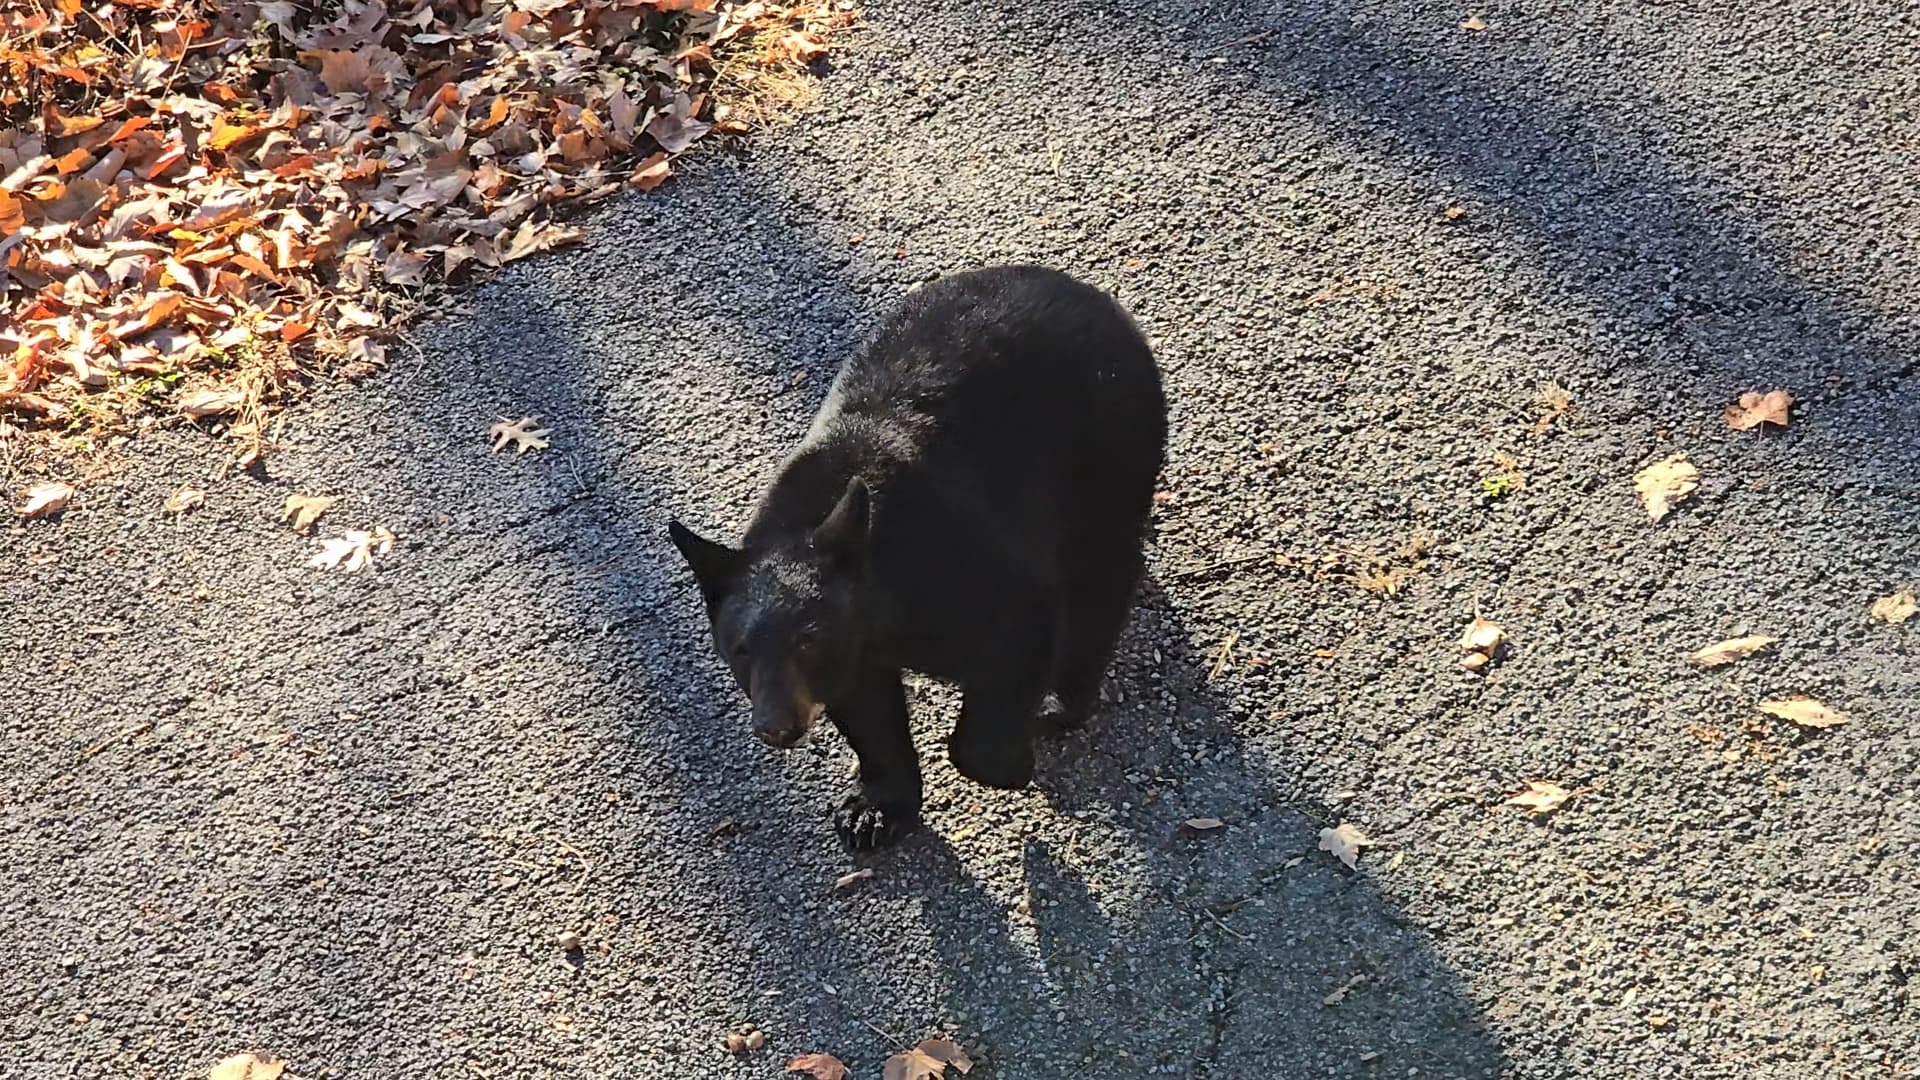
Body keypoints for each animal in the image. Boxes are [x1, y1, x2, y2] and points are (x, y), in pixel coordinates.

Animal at [667, 265, 1167, 850]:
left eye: (807, 639)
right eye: (739, 649)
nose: (775, 724)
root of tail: (1084, 290)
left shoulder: (958, 570)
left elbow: (1018, 627)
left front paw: (1007, 760)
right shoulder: (855, 651)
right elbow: (867, 713)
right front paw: (873, 810)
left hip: (1105, 439)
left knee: (1098, 572)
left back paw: (1062, 699)